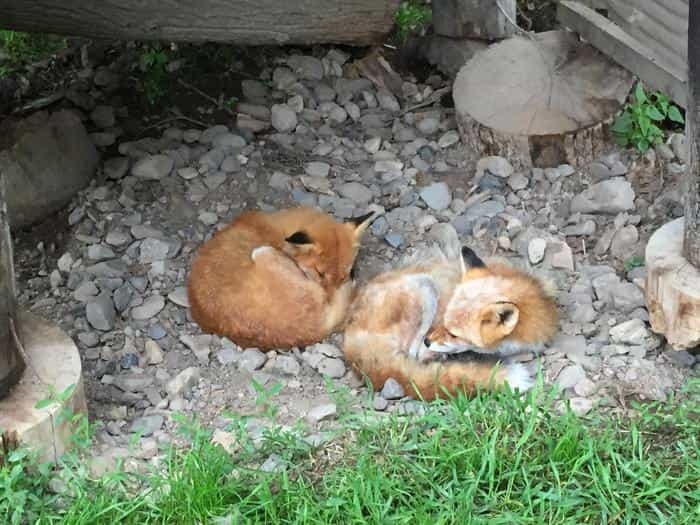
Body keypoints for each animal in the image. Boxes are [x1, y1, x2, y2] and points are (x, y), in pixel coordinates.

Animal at [186, 207, 372, 350]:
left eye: (343, 276)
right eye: (320, 273)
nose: (328, 299)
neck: (276, 229)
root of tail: (316, 329)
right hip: (261, 251)